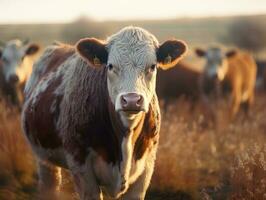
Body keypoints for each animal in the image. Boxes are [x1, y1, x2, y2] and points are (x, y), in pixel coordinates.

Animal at [21, 27, 187, 200]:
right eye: (111, 66)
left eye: (152, 66)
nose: (132, 100)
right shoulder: (81, 167)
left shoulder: (146, 168)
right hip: (43, 158)